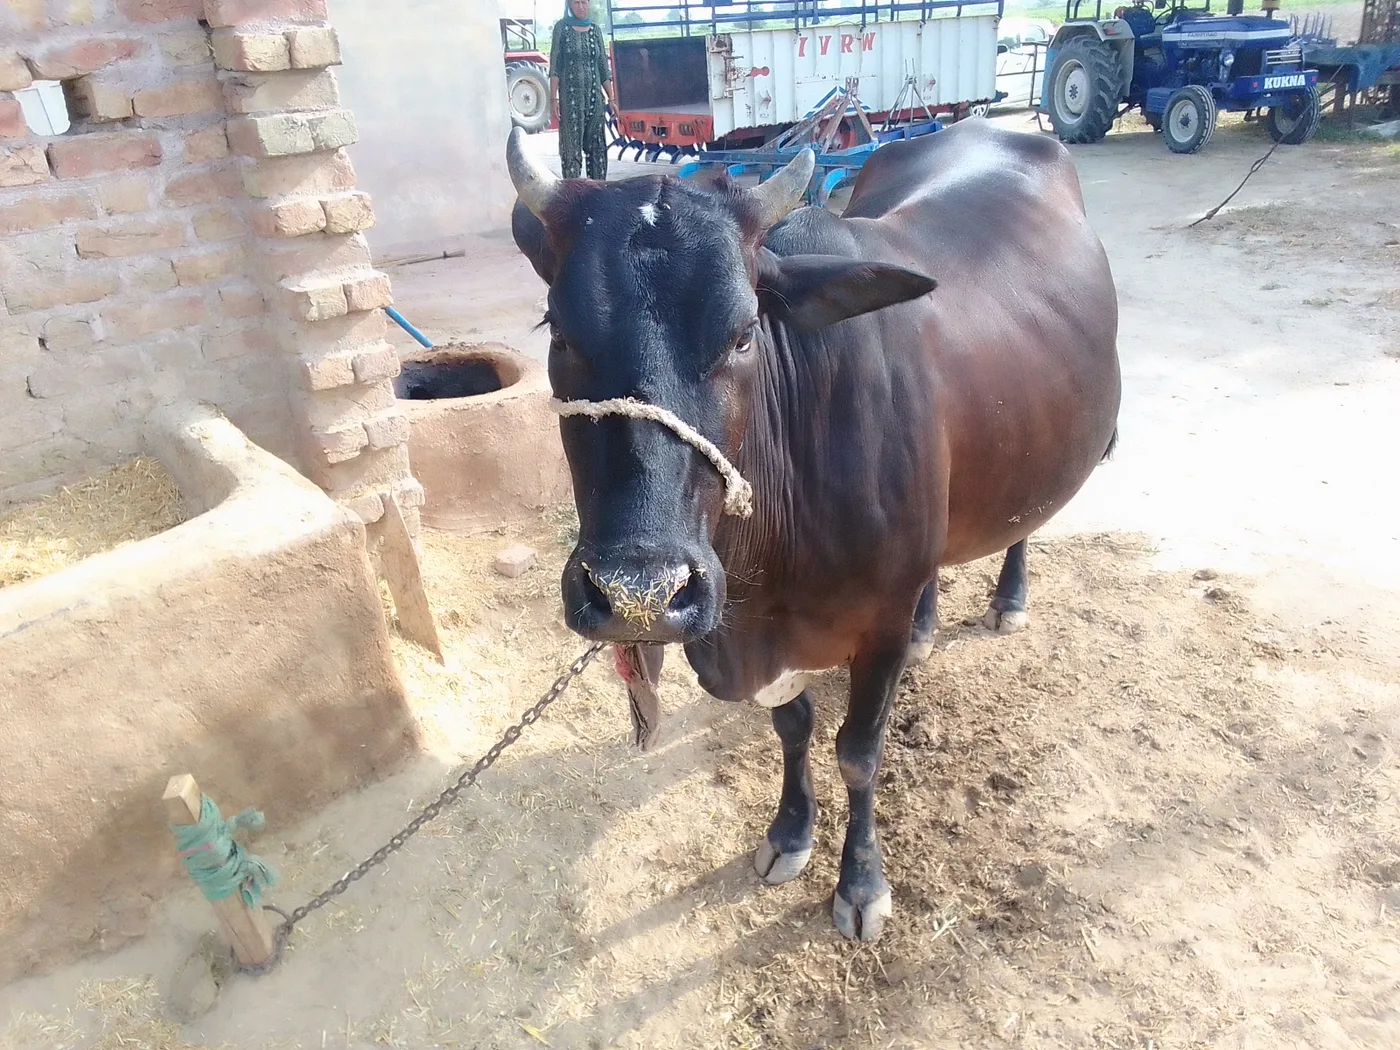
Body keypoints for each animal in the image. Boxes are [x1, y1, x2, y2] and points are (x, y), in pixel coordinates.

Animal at [506, 118, 1121, 941]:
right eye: (559, 331)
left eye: (744, 333)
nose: (640, 592)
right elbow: (792, 728)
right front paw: (790, 832)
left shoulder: (878, 625)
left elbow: (858, 752)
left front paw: (860, 882)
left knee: (1024, 522)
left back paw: (1009, 598)